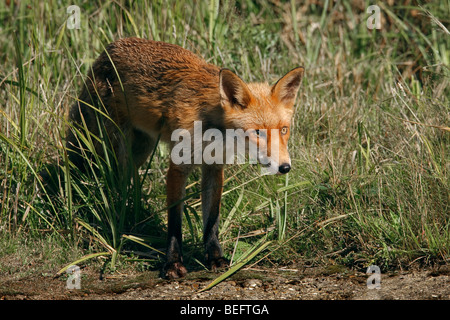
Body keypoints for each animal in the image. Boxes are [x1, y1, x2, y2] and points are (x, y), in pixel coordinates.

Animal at [66, 37, 306, 278]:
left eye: (284, 130)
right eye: (258, 132)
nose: (285, 167)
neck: (210, 129)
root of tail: (108, 50)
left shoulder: (214, 168)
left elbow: (211, 220)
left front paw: (215, 257)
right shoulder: (178, 168)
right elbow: (175, 222)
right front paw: (172, 263)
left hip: (142, 149)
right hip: (116, 149)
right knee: (112, 185)